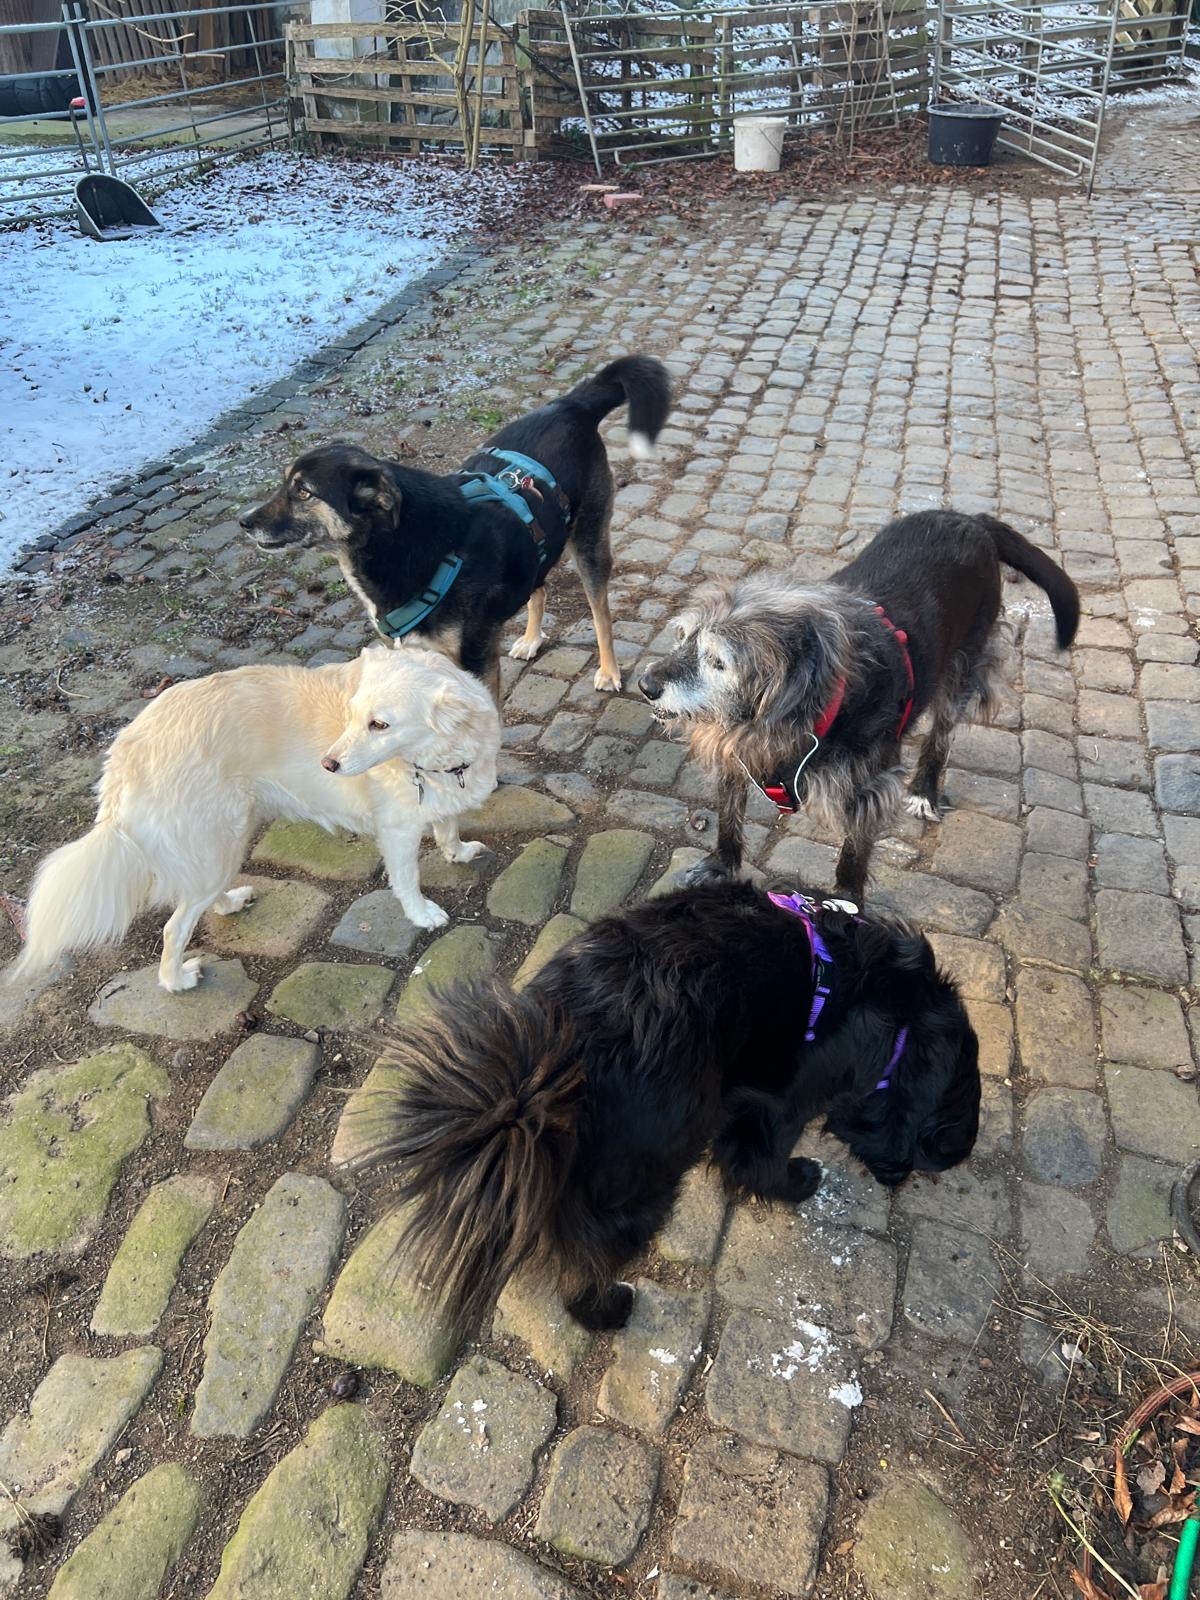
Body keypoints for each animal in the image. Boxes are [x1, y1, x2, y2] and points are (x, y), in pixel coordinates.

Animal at [5, 644, 499, 994]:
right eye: (352, 716)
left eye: (380, 724)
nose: (328, 764)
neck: (443, 759)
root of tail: (125, 754)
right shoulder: (397, 831)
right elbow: (408, 879)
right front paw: (422, 915)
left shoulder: (441, 800)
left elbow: (448, 827)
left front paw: (458, 852)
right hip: (218, 843)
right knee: (175, 926)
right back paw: (177, 980)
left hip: (224, 842)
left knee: (194, 899)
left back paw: (229, 903)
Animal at [238, 354, 672, 700]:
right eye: (284, 483)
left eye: (304, 492)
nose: (244, 522)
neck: (402, 544)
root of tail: (569, 405)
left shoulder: (477, 662)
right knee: (538, 584)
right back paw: (531, 639)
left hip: (590, 545)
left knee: (601, 614)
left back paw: (608, 671)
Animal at [342, 878, 980, 1333]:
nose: (899, 1176)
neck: (900, 1011)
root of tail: (550, 1069)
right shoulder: (780, 1107)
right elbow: (762, 1165)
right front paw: (800, 1181)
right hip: (640, 1191)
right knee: (580, 1271)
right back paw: (611, 1311)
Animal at [638, 509, 1080, 904]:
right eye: (684, 637)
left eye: (718, 661)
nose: (645, 685)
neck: (812, 713)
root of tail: (972, 519)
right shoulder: (736, 753)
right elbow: (729, 818)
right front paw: (721, 865)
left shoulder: (866, 790)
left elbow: (854, 852)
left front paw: (845, 901)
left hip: (961, 671)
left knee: (940, 736)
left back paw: (924, 790)